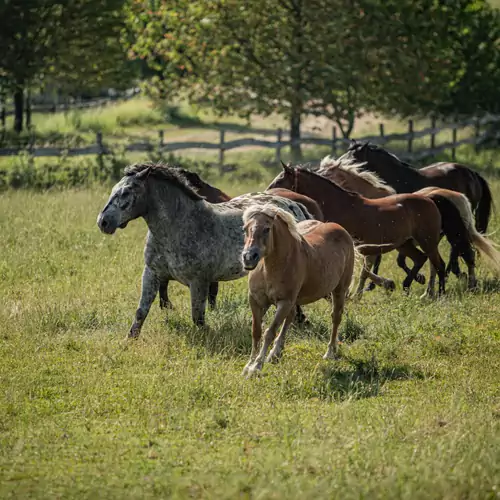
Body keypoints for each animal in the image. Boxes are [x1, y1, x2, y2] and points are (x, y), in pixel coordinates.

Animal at [96, 163, 316, 336]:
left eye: (126, 192)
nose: (103, 222)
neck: (180, 226)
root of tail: (295, 206)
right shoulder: (152, 273)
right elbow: (141, 310)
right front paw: (130, 340)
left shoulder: (199, 281)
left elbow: (198, 317)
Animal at [239, 203, 354, 376]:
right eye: (245, 228)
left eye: (267, 229)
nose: (248, 257)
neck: (270, 268)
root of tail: (342, 230)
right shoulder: (256, 301)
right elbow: (256, 331)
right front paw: (248, 365)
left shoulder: (284, 302)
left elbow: (269, 332)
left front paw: (256, 366)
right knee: (291, 317)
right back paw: (275, 353)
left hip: (339, 290)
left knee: (336, 318)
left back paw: (329, 352)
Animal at [268, 163, 448, 296]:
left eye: (280, 180)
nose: (269, 191)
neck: (341, 204)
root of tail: (430, 200)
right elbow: (364, 270)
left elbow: (363, 270)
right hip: (405, 244)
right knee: (420, 259)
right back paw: (408, 286)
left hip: (427, 242)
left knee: (439, 265)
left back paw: (438, 293)